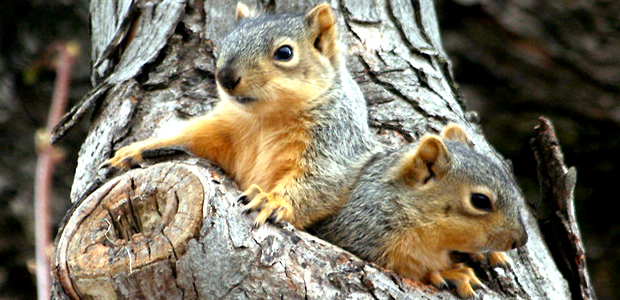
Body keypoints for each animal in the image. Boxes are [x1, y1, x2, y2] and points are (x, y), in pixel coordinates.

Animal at [100, 2, 376, 230]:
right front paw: (136, 149)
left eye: (285, 53)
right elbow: (190, 137)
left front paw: (271, 201)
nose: (225, 77)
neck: (266, 119)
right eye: (224, 44)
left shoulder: (336, 137)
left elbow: (322, 178)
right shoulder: (223, 127)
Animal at [310, 123, 528, 298]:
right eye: (480, 201)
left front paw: (492, 255)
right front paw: (450, 273)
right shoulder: (363, 233)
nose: (521, 239)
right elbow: (405, 268)